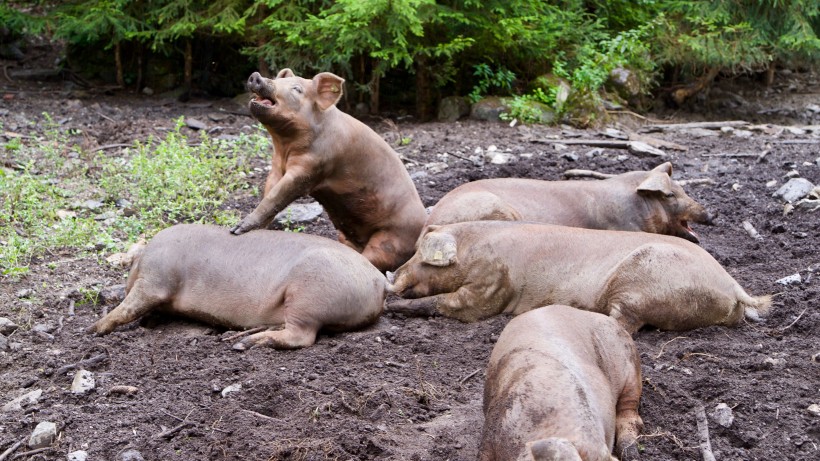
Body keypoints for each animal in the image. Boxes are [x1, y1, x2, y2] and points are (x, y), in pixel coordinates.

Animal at [89, 224, 388, 348]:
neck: (140, 261)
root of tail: (378, 279)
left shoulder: (156, 278)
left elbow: (131, 306)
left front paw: (93, 329)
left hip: (309, 295)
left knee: (302, 336)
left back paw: (246, 343)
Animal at [227, 68, 426, 270]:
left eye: (297, 89)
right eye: (278, 80)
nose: (256, 76)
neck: (285, 146)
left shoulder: (312, 167)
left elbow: (277, 196)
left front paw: (235, 230)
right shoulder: (276, 166)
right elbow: (269, 192)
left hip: (391, 239)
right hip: (346, 236)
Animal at [388, 221, 772, 332]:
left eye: (419, 255)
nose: (395, 274)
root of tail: (731, 285)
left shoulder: (490, 285)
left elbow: (452, 304)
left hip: (640, 284)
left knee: (625, 324)